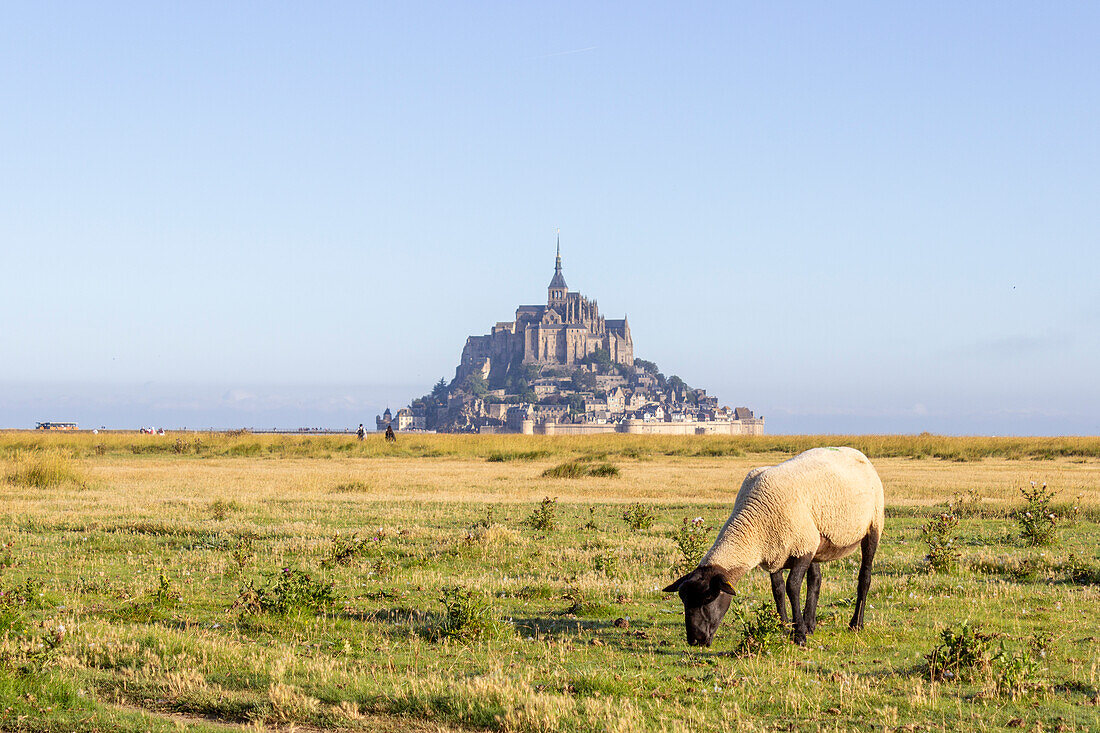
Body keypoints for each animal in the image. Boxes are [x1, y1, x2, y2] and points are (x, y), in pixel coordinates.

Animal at [660, 444, 884, 647]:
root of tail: (856, 451)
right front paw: (784, 628)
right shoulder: (776, 552)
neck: (755, 521)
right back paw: (810, 624)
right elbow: (777, 590)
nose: (695, 641)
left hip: (872, 525)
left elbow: (792, 586)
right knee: (816, 580)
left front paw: (798, 636)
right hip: (814, 538)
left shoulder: (801, 550)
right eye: (683, 600)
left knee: (864, 576)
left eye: (708, 597)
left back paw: (856, 624)